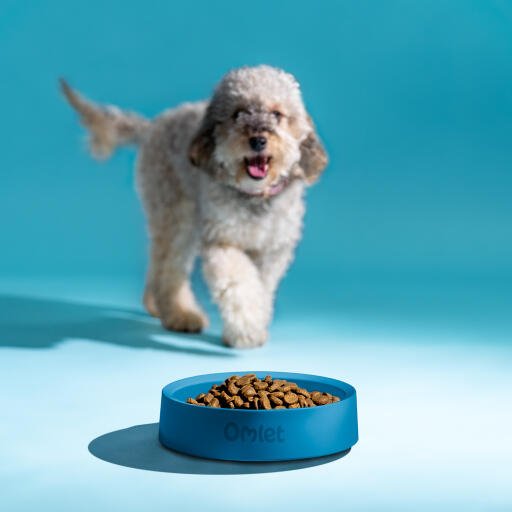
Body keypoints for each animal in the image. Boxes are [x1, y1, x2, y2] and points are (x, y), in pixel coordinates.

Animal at [62, 65, 328, 348]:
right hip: (177, 215)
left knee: (157, 259)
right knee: (170, 267)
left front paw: (256, 324)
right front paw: (246, 330)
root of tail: (152, 126)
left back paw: (156, 304)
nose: (257, 140)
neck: (255, 196)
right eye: (237, 114)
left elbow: (263, 289)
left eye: (277, 114)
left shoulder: (272, 251)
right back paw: (179, 314)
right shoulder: (221, 242)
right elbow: (239, 284)